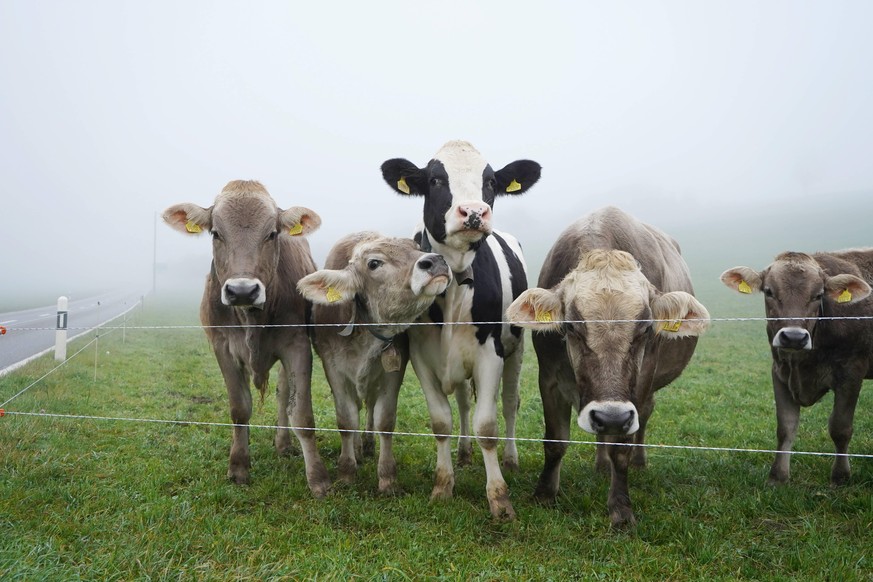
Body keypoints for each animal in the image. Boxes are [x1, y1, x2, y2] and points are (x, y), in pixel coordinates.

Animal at [162, 181, 328, 498]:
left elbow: (302, 414)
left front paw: (318, 479)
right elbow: (239, 408)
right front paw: (238, 467)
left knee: (283, 394)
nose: (242, 290)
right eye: (216, 233)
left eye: (272, 233)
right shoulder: (222, 347)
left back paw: (283, 444)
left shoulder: (298, 346)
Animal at [298, 235, 454, 496]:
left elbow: (385, 420)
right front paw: (347, 472)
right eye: (374, 263)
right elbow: (346, 420)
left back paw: (368, 445)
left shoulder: (393, 372)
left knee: (369, 408)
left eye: (417, 248)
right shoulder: (333, 370)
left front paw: (387, 478)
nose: (435, 261)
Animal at [380, 140, 540, 520]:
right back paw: (465, 453)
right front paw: (442, 486)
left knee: (509, 403)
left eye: (491, 182)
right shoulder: (422, 357)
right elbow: (441, 422)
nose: (474, 212)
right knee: (466, 402)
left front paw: (499, 498)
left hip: (517, 348)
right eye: (435, 180)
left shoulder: (491, 353)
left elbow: (488, 426)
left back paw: (510, 459)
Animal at [504, 206, 708, 528]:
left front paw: (621, 509)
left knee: (644, 415)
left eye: (645, 329)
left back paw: (638, 462)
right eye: (571, 326)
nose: (611, 416)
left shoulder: (638, 386)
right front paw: (544, 495)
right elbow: (555, 440)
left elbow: (621, 447)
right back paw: (601, 464)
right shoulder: (549, 378)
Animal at [724, 251, 872, 488]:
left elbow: (840, 428)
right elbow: (786, 426)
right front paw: (778, 476)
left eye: (818, 295)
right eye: (769, 291)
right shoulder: (780, 372)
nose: (793, 337)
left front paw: (840, 477)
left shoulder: (851, 372)